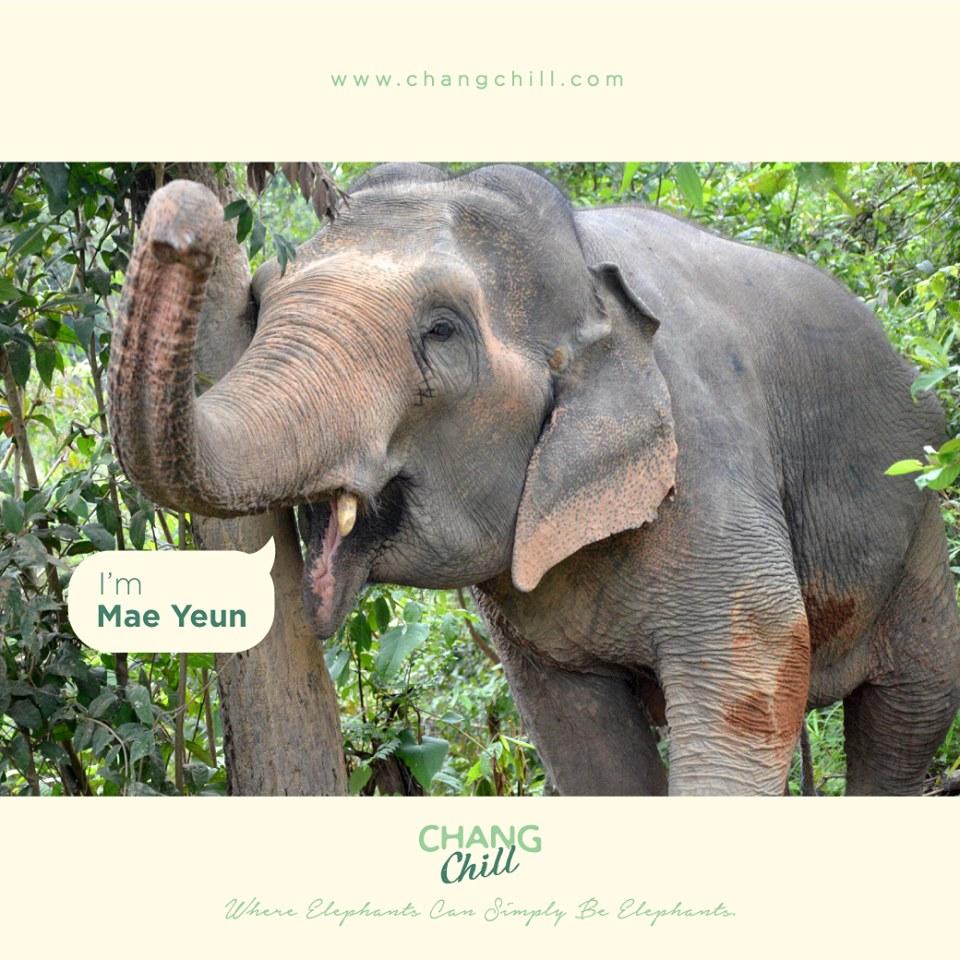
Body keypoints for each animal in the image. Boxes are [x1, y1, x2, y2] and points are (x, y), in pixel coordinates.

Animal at [108, 163, 960, 796]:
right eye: (261, 301)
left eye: (442, 332)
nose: (182, 214)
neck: (586, 268)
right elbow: (584, 742)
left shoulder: (710, 460)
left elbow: (748, 687)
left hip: (923, 516)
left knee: (910, 713)